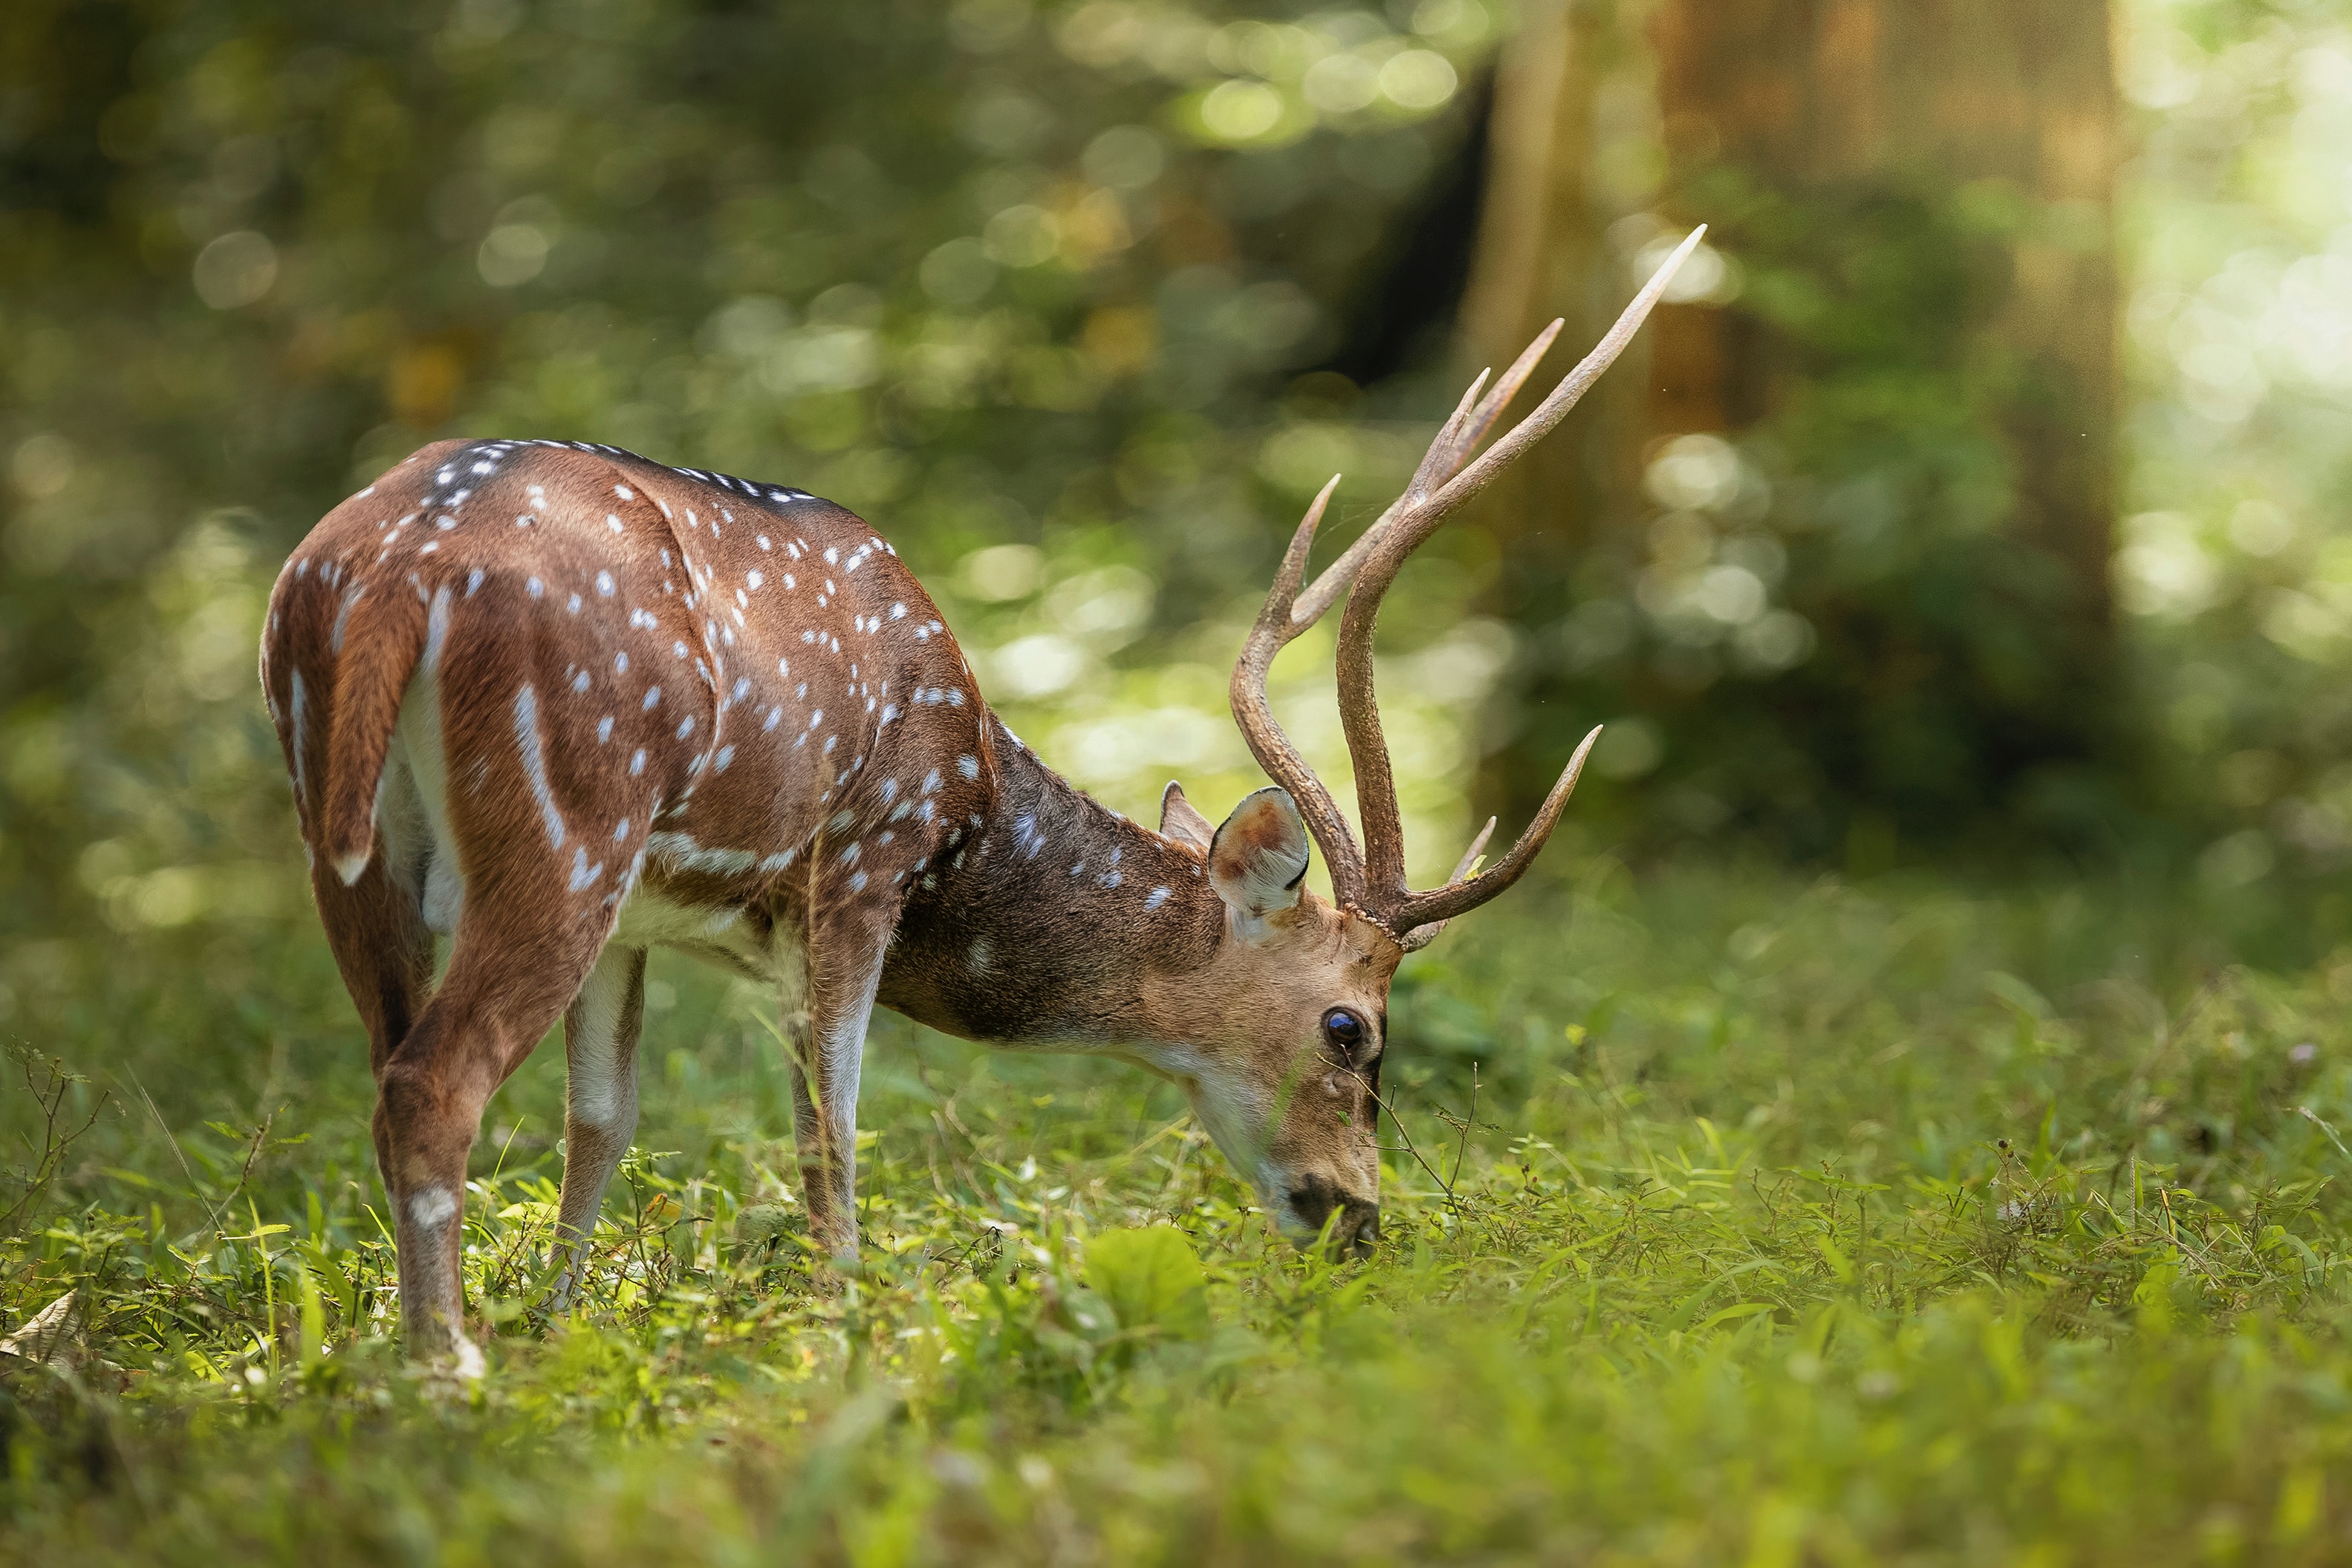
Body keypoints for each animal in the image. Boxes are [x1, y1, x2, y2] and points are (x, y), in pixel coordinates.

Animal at [257, 230, 1703, 1363]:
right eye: (1351, 1029)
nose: (1356, 1216)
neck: (976, 801)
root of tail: (388, 570)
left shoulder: (648, 917)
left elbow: (600, 1123)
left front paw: (562, 1330)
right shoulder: (861, 856)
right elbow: (830, 1126)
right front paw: (841, 1329)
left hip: (356, 840)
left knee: (389, 1064)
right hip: (569, 815)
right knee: (432, 1081)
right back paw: (444, 1371)